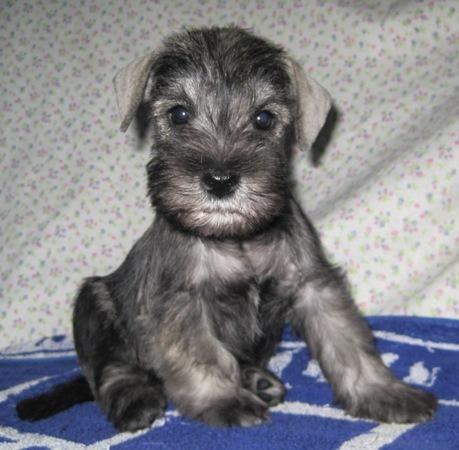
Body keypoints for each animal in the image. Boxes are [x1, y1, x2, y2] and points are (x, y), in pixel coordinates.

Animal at [17, 26, 437, 432]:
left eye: (264, 118)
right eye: (179, 113)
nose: (220, 180)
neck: (237, 236)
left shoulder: (313, 284)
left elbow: (348, 341)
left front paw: (383, 393)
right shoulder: (180, 300)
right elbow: (202, 355)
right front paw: (223, 400)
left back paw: (257, 379)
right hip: (94, 302)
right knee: (110, 369)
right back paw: (137, 399)